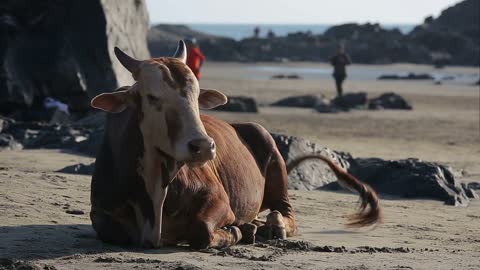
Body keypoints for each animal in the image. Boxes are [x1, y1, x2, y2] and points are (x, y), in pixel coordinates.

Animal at [89, 40, 382, 249]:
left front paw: (236, 231)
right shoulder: (101, 212)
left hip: (273, 160)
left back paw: (271, 226)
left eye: (196, 95)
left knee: (286, 213)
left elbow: (202, 230)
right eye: (152, 97)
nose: (203, 146)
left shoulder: (219, 198)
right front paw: (242, 230)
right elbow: (111, 231)